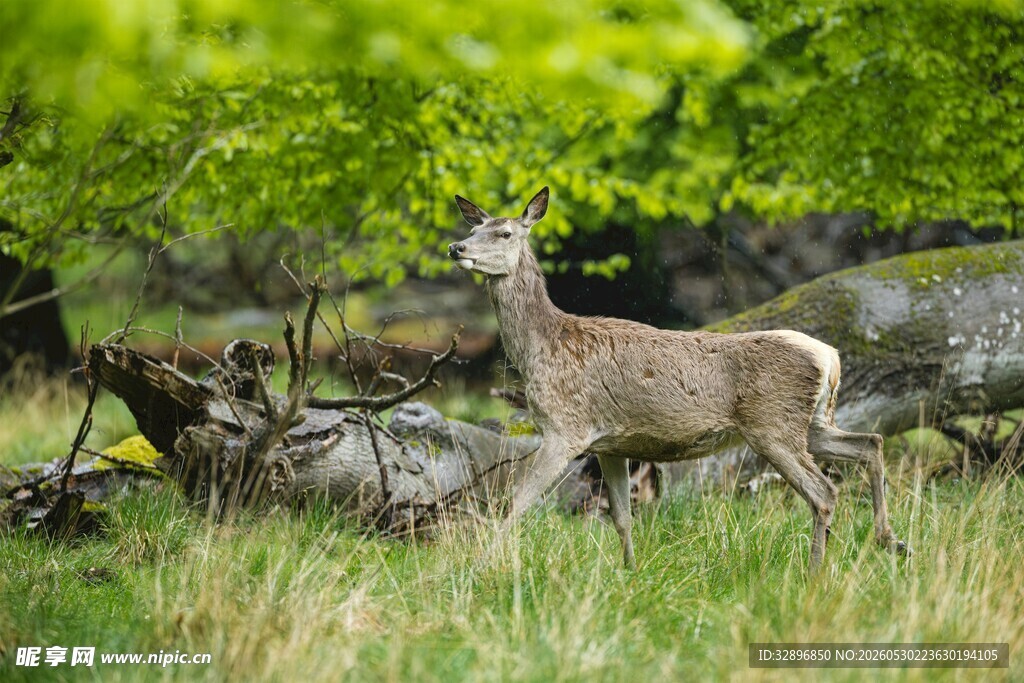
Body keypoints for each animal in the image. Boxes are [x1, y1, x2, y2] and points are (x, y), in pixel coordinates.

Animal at [448, 187, 909, 571]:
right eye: (473, 228)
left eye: (505, 233)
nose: (456, 247)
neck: (542, 348)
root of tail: (830, 356)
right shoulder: (609, 444)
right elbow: (622, 517)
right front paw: (631, 572)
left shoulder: (566, 429)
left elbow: (515, 505)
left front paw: (478, 566)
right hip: (812, 422)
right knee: (871, 443)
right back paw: (891, 540)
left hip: (772, 425)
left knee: (824, 492)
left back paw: (815, 572)